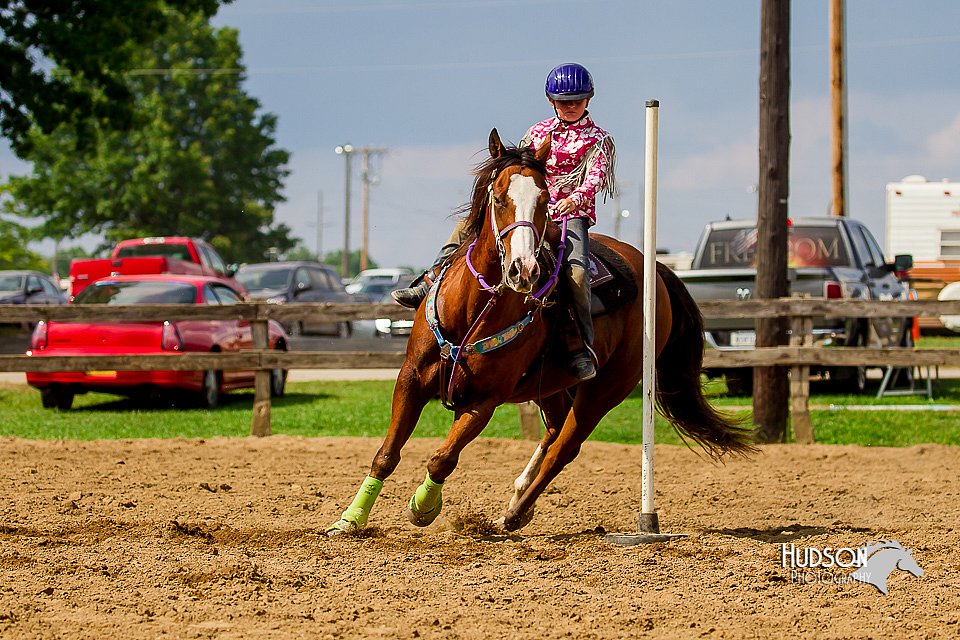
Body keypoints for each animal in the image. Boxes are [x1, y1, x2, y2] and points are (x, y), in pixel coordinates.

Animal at [330, 129, 756, 536]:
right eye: (499, 196)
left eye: (544, 198)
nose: (524, 270)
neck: (471, 309)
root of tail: (657, 273)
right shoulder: (411, 380)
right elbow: (386, 454)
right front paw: (350, 520)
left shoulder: (484, 400)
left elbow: (443, 458)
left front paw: (423, 507)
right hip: (550, 385)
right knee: (553, 429)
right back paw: (520, 497)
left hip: (606, 390)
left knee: (564, 447)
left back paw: (514, 514)